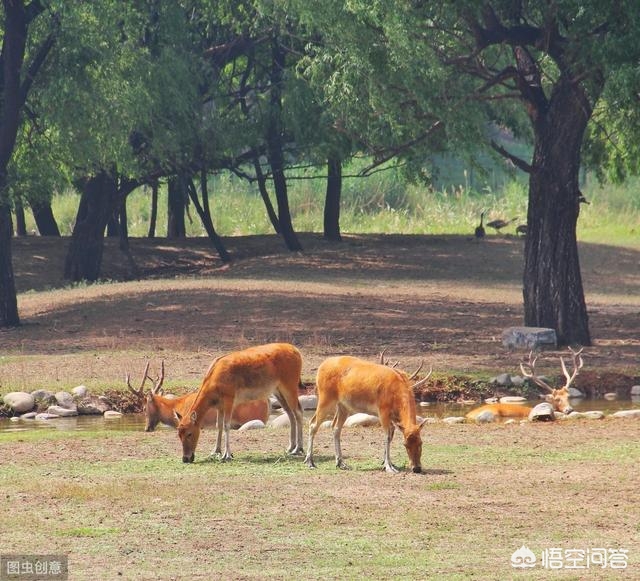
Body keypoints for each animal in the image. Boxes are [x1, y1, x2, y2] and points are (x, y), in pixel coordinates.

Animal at [175, 344, 304, 462]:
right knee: (290, 413)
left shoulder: (229, 399)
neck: (214, 380)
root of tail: (296, 351)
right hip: (278, 391)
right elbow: (219, 425)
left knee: (298, 412)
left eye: (189, 433)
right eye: (179, 434)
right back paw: (290, 447)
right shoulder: (219, 406)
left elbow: (226, 425)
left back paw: (298, 449)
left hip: (290, 386)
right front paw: (216, 451)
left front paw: (227, 455)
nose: (186, 458)